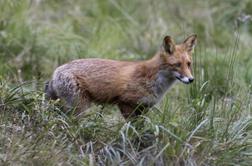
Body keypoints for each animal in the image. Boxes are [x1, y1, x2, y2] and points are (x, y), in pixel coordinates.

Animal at [44, 34, 197, 118]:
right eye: (177, 65)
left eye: (189, 64)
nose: (191, 79)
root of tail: (56, 71)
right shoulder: (125, 103)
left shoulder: (143, 108)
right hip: (80, 107)